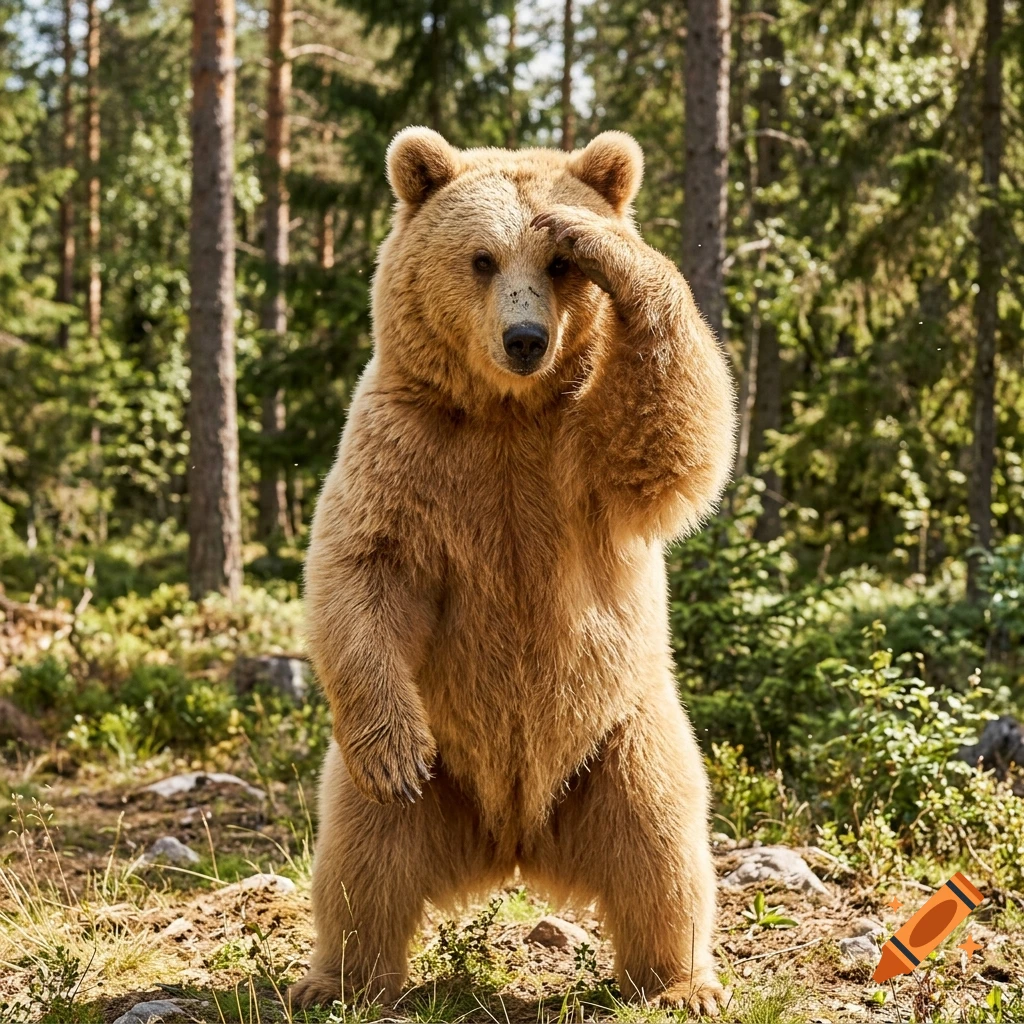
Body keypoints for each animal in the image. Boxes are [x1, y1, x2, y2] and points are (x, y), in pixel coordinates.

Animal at [290, 127, 737, 1013]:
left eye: (558, 264)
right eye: (482, 258)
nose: (525, 339)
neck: (506, 412)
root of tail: (515, 837)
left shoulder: (581, 452)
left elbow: (673, 430)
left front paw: (601, 236)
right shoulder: (406, 444)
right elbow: (364, 566)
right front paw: (394, 753)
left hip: (622, 736)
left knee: (663, 844)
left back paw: (681, 981)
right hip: (432, 773)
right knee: (362, 858)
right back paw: (339, 981)